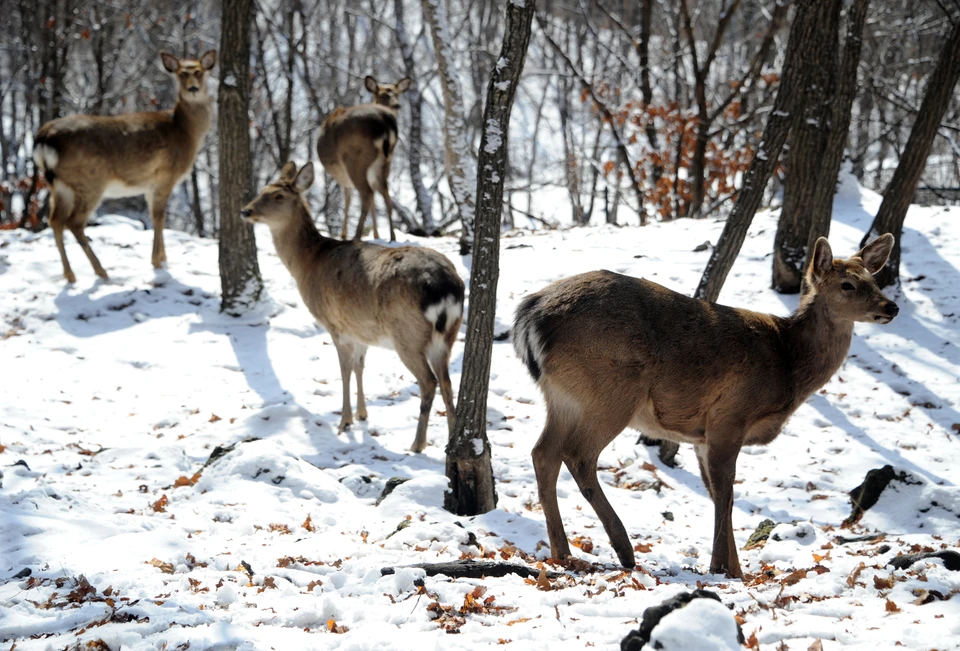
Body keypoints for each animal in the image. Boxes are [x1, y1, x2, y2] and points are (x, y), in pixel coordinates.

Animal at [32, 49, 218, 284]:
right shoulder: (165, 176)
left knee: (55, 220)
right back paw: (101, 271)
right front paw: (157, 261)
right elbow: (159, 217)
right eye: (181, 74)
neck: (186, 133)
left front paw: (163, 258)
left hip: (60, 184)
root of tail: (43, 140)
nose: (193, 88)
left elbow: (158, 217)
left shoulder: (150, 186)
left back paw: (70, 275)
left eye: (199, 72)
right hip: (90, 181)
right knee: (74, 222)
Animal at [242, 162, 464, 454]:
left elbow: (344, 371)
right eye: (262, 191)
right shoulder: (361, 329)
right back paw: (452, 442)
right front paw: (362, 415)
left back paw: (417, 444)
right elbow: (360, 366)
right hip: (447, 335)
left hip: (407, 334)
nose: (246, 211)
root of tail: (446, 288)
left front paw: (344, 421)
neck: (308, 262)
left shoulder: (335, 325)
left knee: (429, 382)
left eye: (278, 196)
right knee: (447, 382)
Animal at [316, 74, 410, 242]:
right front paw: (376, 235)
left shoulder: (343, 176)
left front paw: (344, 234)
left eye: (396, 94)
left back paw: (356, 236)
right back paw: (392, 237)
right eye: (384, 94)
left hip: (355, 158)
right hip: (386, 161)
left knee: (367, 193)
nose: (397, 105)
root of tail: (385, 123)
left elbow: (347, 197)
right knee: (385, 193)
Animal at [512, 232, 896, 580]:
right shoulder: (731, 414)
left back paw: (562, 552)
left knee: (543, 453)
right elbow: (726, 493)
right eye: (847, 284)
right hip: (610, 390)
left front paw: (734, 567)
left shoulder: (700, 436)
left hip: (563, 396)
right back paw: (623, 548)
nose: (890, 307)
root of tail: (531, 316)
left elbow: (714, 493)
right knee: (578, 455)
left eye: (874, 279)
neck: (788, 362)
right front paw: (722, 569)